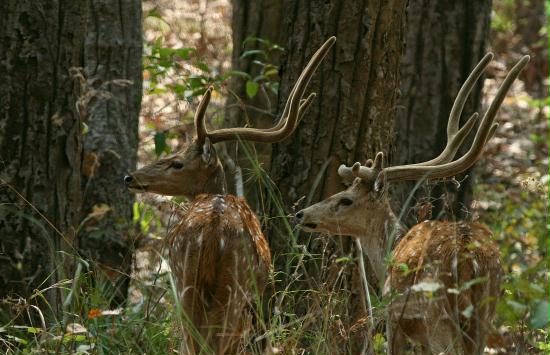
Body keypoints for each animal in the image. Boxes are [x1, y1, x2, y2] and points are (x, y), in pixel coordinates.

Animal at [296, 53, 532, 355]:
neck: (389, 251)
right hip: (485, 312)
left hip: (436, 316)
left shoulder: (392, 316)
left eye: (345, 199)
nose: (301, 213)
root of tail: (469, 260)